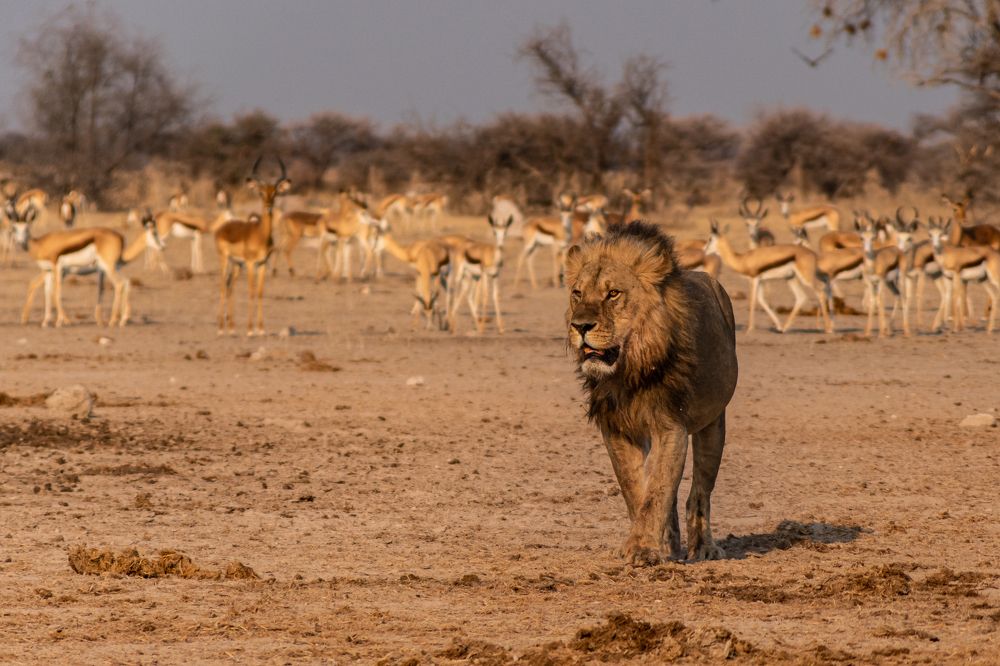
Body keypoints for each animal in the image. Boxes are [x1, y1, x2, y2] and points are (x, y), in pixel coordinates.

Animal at [565, 220, 738, 566]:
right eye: (578, 293)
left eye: (613, 293)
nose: (580, 326)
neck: (628, 372)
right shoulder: (617, 430)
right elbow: (637, 490)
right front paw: (645, 545)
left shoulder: (671, 427)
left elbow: (657, 490)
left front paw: (643, 549)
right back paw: (670, 547)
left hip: (714, 423)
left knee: (699, 492)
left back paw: (704, 548)